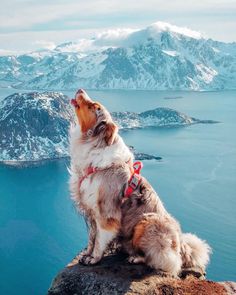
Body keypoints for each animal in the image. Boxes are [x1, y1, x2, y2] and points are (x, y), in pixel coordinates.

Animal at [68, 89, 210, 278]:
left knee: (162, 261)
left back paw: (136, 258)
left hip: (148, 222)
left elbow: (99, 240)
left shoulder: (106, 213)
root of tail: (181, 245)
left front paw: (94, 259)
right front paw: (87, 255)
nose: (80, 90)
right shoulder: (91, 212)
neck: (93, 144)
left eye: (94, 106)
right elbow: (92, 238)